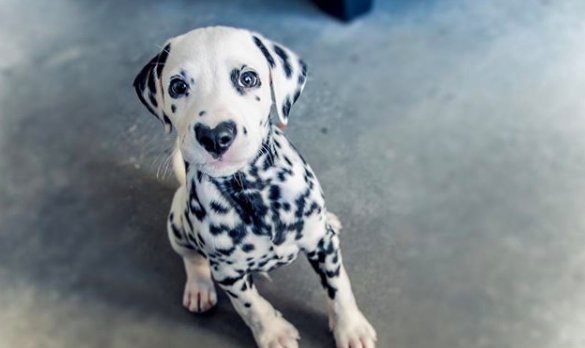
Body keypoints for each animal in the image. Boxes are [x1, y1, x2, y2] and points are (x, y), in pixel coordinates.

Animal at [132, 25, 376, 346]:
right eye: (177, 87)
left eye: (248, 78)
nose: (215, 136)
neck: (254, 192)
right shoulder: (227, 272)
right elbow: (251, 306)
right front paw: (273, 333)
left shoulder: (323, 245)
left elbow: (339, 288)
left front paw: (351, 328)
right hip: (176, 223)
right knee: (192, 258)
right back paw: (199, 288)